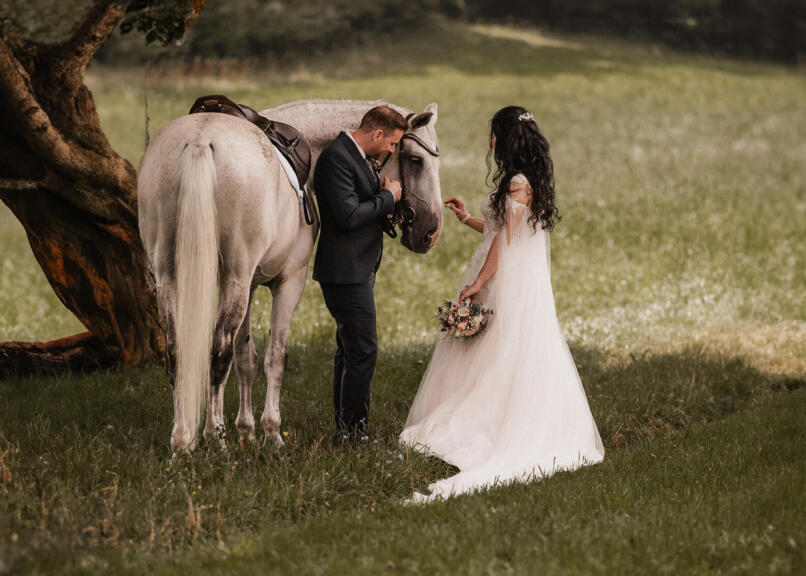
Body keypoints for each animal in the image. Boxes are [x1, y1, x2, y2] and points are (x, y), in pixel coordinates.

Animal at [138, 99, 442, 452]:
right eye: (415, 161)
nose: (430, 232)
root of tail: (200, 142)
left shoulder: (248, 284)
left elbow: (246, 358)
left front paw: (246, 431)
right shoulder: (287, 281)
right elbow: (275, 357)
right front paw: (271, 433)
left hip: (170, 277)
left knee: (177, 353)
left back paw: (183, 440)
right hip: (233, 278)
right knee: (218, 351)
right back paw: (214, 437)